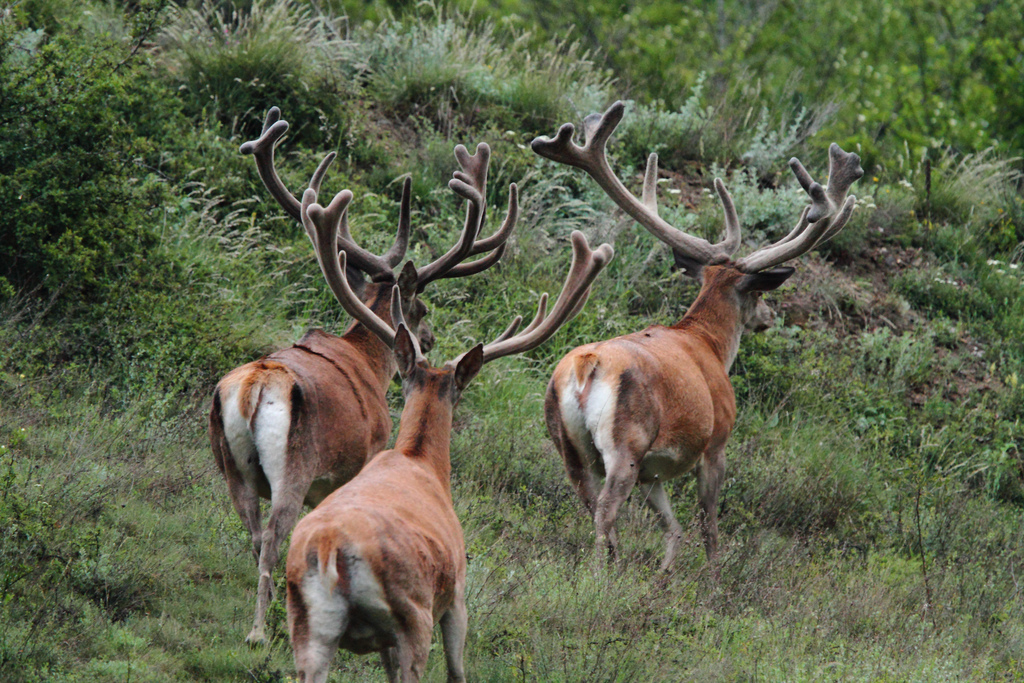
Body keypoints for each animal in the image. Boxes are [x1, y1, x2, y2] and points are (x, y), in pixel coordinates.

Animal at [206, 104, 516, 643]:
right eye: (422, 306)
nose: (428, 339)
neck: (365, 358)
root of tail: (252, 390)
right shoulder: (364, 454)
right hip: (293, 466)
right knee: (272, 538)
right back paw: (261, 631)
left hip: (231, 466)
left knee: (253, 533)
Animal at [284, 191, 610, 683]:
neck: (419, 459)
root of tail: (329, 551)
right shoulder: (457, 593)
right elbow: (458, 669)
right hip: (412, 614)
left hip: (306, 627)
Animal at [532, 101, 860, 573]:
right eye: (760, 292)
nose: (768, 318)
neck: (710, 344)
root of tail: (584, 366)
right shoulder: (717, 440)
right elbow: (708, 525)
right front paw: (712, 577)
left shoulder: (653, 472)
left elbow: (674, 527)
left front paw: (665, 574)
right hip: (626, 444)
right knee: (606, 511)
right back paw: (599, 577)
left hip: (569, 447)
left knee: (592, 506)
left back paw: (615, 566)